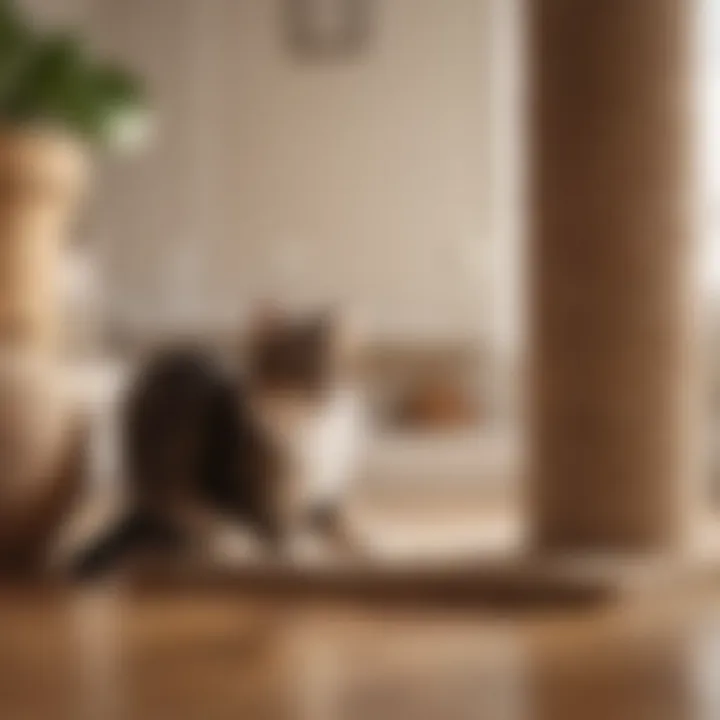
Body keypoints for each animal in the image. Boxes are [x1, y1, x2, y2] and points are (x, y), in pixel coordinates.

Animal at [71, 306, 366, 576]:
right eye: (293, 369)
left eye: (330, 371)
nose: (321, 395)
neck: (312, 433)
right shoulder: (246, 489)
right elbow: (278, 524)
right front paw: (301, 547)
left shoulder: (329, 492)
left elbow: (345, 521)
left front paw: (365, 544)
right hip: (166, 466)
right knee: (182, 513)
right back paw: (231, 541)